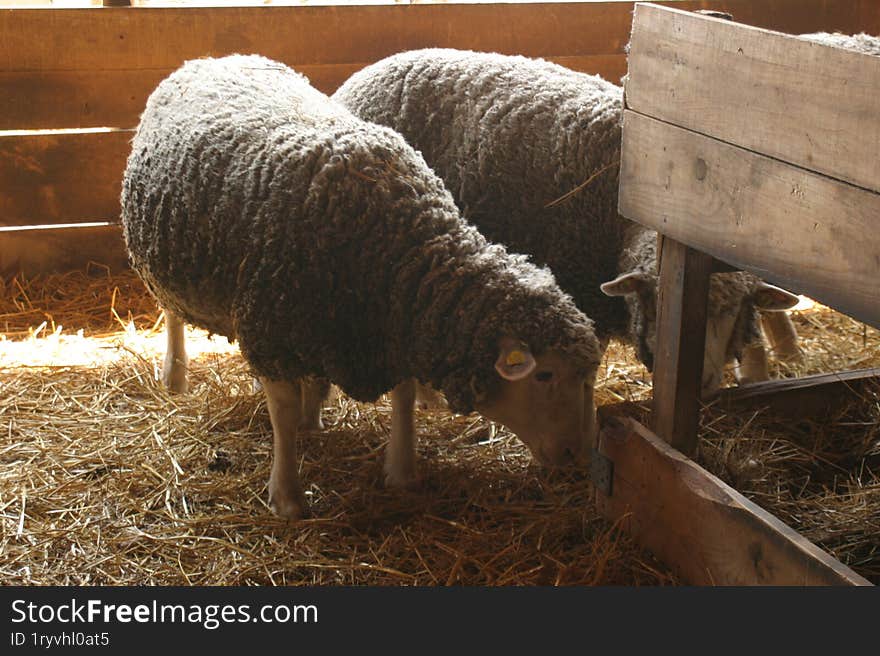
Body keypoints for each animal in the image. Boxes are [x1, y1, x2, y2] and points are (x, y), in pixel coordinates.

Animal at [120, 55, 600, 516]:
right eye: (545, 374)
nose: (576, 456)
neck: (395, 247)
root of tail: (209, 58)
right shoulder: (273, 329)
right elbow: (283, 412)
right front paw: (287, 495)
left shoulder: (392, 322)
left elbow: (402, 397)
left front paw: (401, 469)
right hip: (163, 256)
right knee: (171, 314)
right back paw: (175, 375)